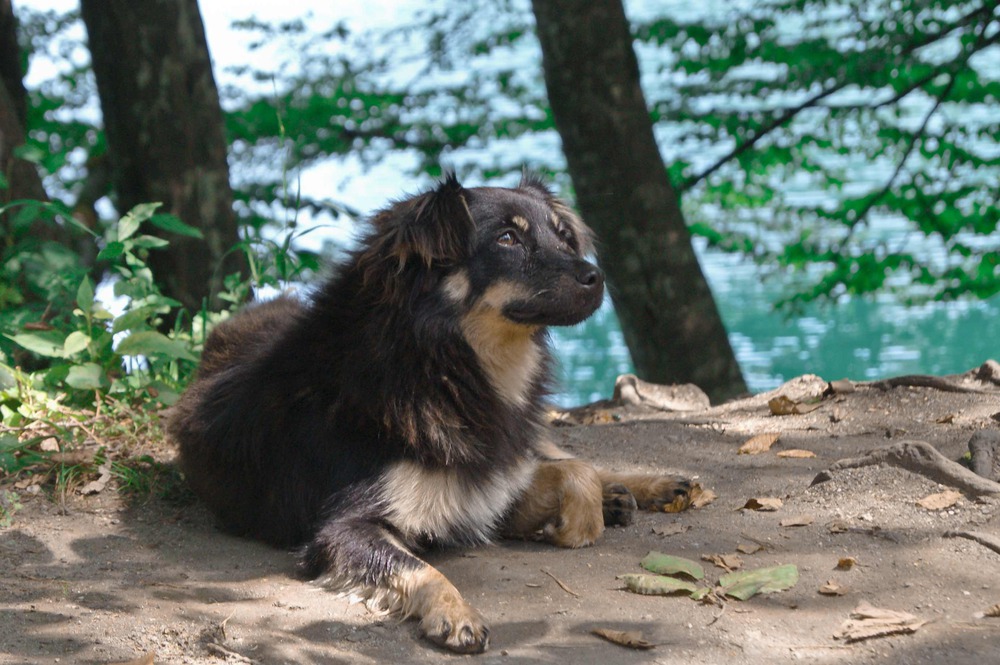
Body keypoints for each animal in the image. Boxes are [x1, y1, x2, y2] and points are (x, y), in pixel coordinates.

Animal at [168, 172, 692, 652]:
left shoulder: (492, 468)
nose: (596, 277)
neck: (437, 363)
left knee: (566, 455)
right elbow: (421, 567)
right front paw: (456, 612)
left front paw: (575, 516)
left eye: (564, 236)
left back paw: (653, 486)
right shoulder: (343, 526)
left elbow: (576, 472)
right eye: (507, 238)